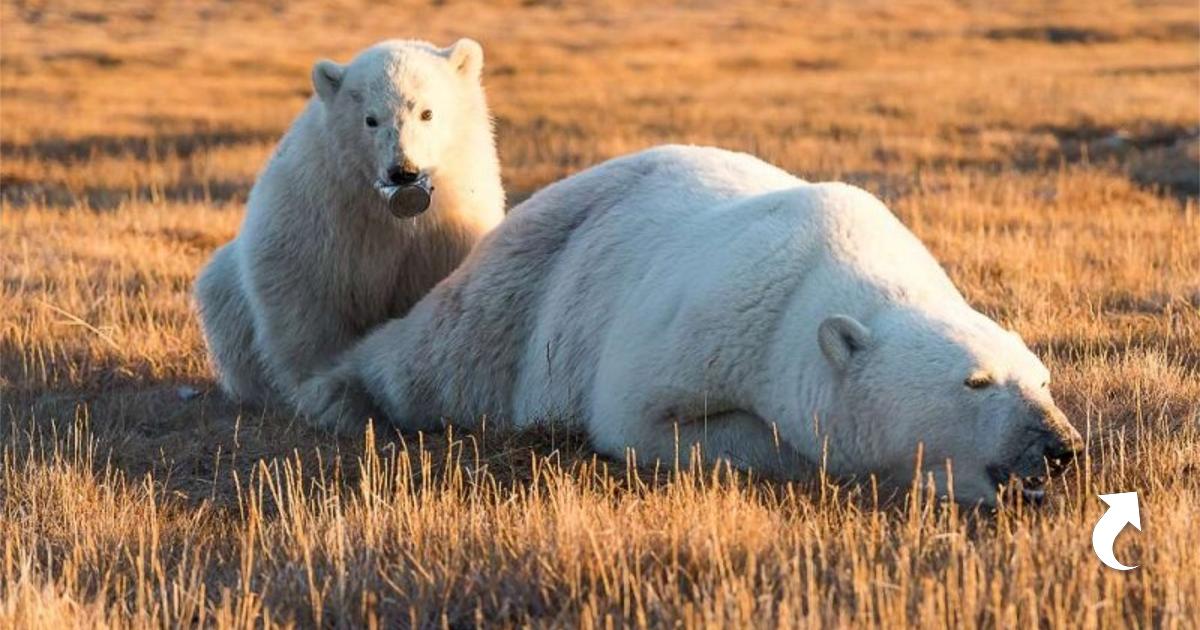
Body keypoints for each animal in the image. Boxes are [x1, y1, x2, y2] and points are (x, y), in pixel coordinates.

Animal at [195, 39, 501, 405]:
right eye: (370, 119)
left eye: (426, 112)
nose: (403, 171)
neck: (387, 212)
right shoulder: (321, 210)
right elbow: (302, 297)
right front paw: (319, 383)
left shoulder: (444, 227)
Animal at [302, 145, 1089, 504]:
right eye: (976, 381)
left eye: (1043, 379)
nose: (1060, 448)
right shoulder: (717, 319)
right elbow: (642, 417)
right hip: (528, 286)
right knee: (439, 356)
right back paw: (340, 392)